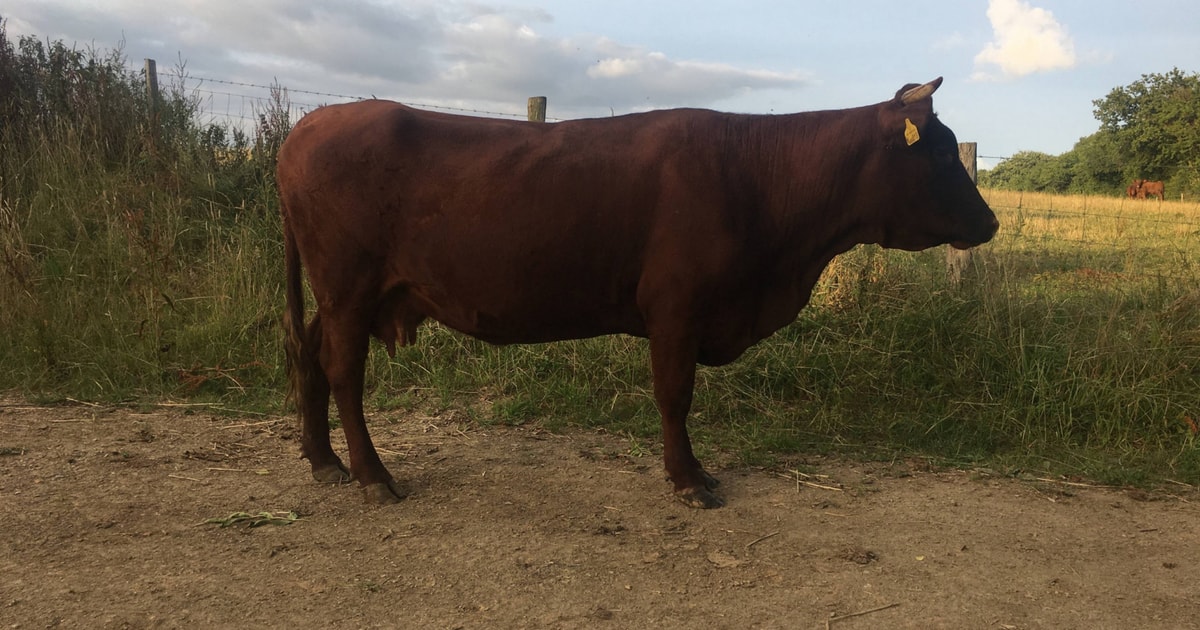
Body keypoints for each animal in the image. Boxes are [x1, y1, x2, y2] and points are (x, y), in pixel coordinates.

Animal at [277, 77, 999, 509]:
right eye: (939, 153)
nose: (990, 222)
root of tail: (310, 125)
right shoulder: (677, 308)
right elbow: (675, 397)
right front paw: (689, 480)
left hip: (345, 295)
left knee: (308, 354)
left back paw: (323, 460)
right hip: (348, 286)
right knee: (343, 370)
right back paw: (373, 476)